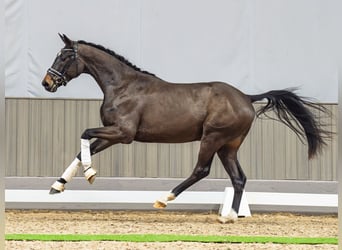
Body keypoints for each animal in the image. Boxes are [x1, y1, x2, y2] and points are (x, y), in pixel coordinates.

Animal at [41, 34, 330, 223]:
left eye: (64, 57)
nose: (47, 83)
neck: (122, 86)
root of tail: (246, 98)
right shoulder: (113, 133)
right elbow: (83, 150)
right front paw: (58, 186)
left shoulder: (123, 134)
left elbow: (84, 135)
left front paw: (90, 174)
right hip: (228, 146)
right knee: (239, 178)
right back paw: (229, 217)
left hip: (212, 139)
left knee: (201, 170)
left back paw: (164, 199)